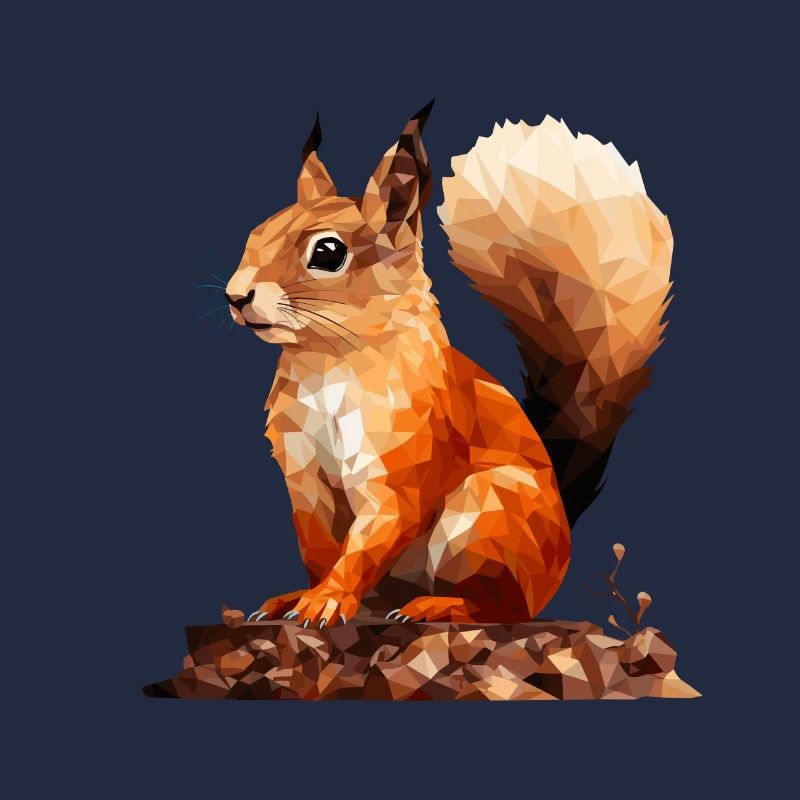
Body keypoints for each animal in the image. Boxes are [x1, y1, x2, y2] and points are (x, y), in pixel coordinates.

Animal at [223, 100, 673, 628]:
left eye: (329, 253)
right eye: (256, 232)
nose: (235, 296)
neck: (329, 364)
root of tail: (558, 559)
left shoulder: (405, 460)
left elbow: (372, 536)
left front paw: (328, 599)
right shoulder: (303, 475)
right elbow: (318, 547)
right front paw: (304, 595)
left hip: (484, 519)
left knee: (502, 608)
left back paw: (438, 606)